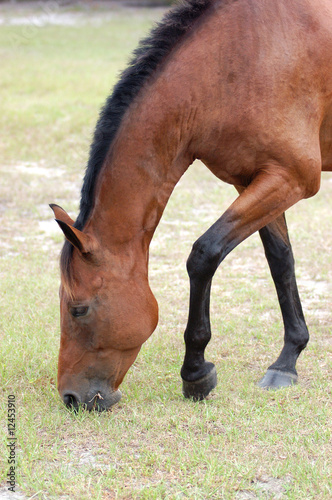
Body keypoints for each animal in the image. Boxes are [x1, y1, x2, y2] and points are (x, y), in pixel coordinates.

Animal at [50, 0, 332, 412]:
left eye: (79, 309)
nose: (70, 398)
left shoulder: (292, 178)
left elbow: (205, 254)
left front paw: (195, 374)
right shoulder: (257, 179)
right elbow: (280, 261)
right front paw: (287, 361)